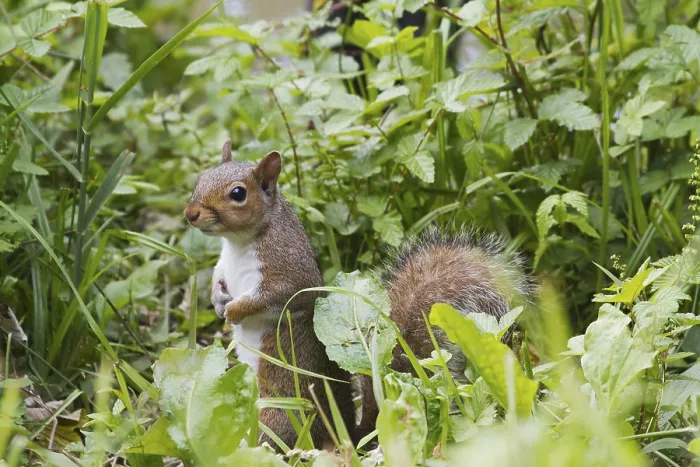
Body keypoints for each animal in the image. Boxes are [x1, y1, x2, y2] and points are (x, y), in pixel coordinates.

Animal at [184, 140, 534, 450]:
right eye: (200, 179)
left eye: (238, 194)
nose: (190, 213)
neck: (238, 242)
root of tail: (345, 437)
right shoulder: (224, 265)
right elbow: (217, 278)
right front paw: (218, 301)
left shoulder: (287, 269)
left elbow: (274, 298)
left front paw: (235, 311)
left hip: (280, 408)